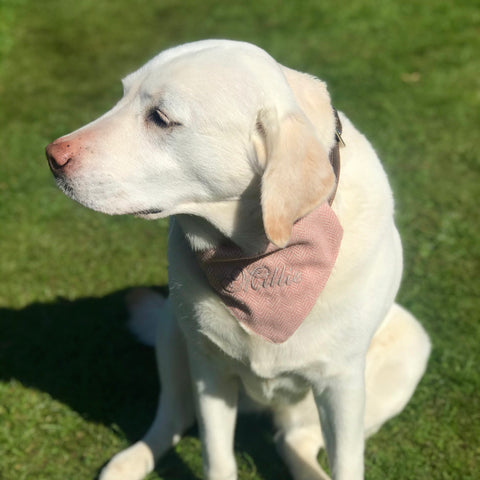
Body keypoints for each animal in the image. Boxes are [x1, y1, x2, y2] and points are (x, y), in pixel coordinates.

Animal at [46, 39, 432, 478]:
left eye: (160, 118)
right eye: (122, 95)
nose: (52, 156)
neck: (255, 255)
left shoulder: (342, 384)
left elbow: (347, 463)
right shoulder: (209, 369)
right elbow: (216, 457)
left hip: (409, 344)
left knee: (293, 439)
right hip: (173, 328)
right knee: (173, 417)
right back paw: (130, 461)